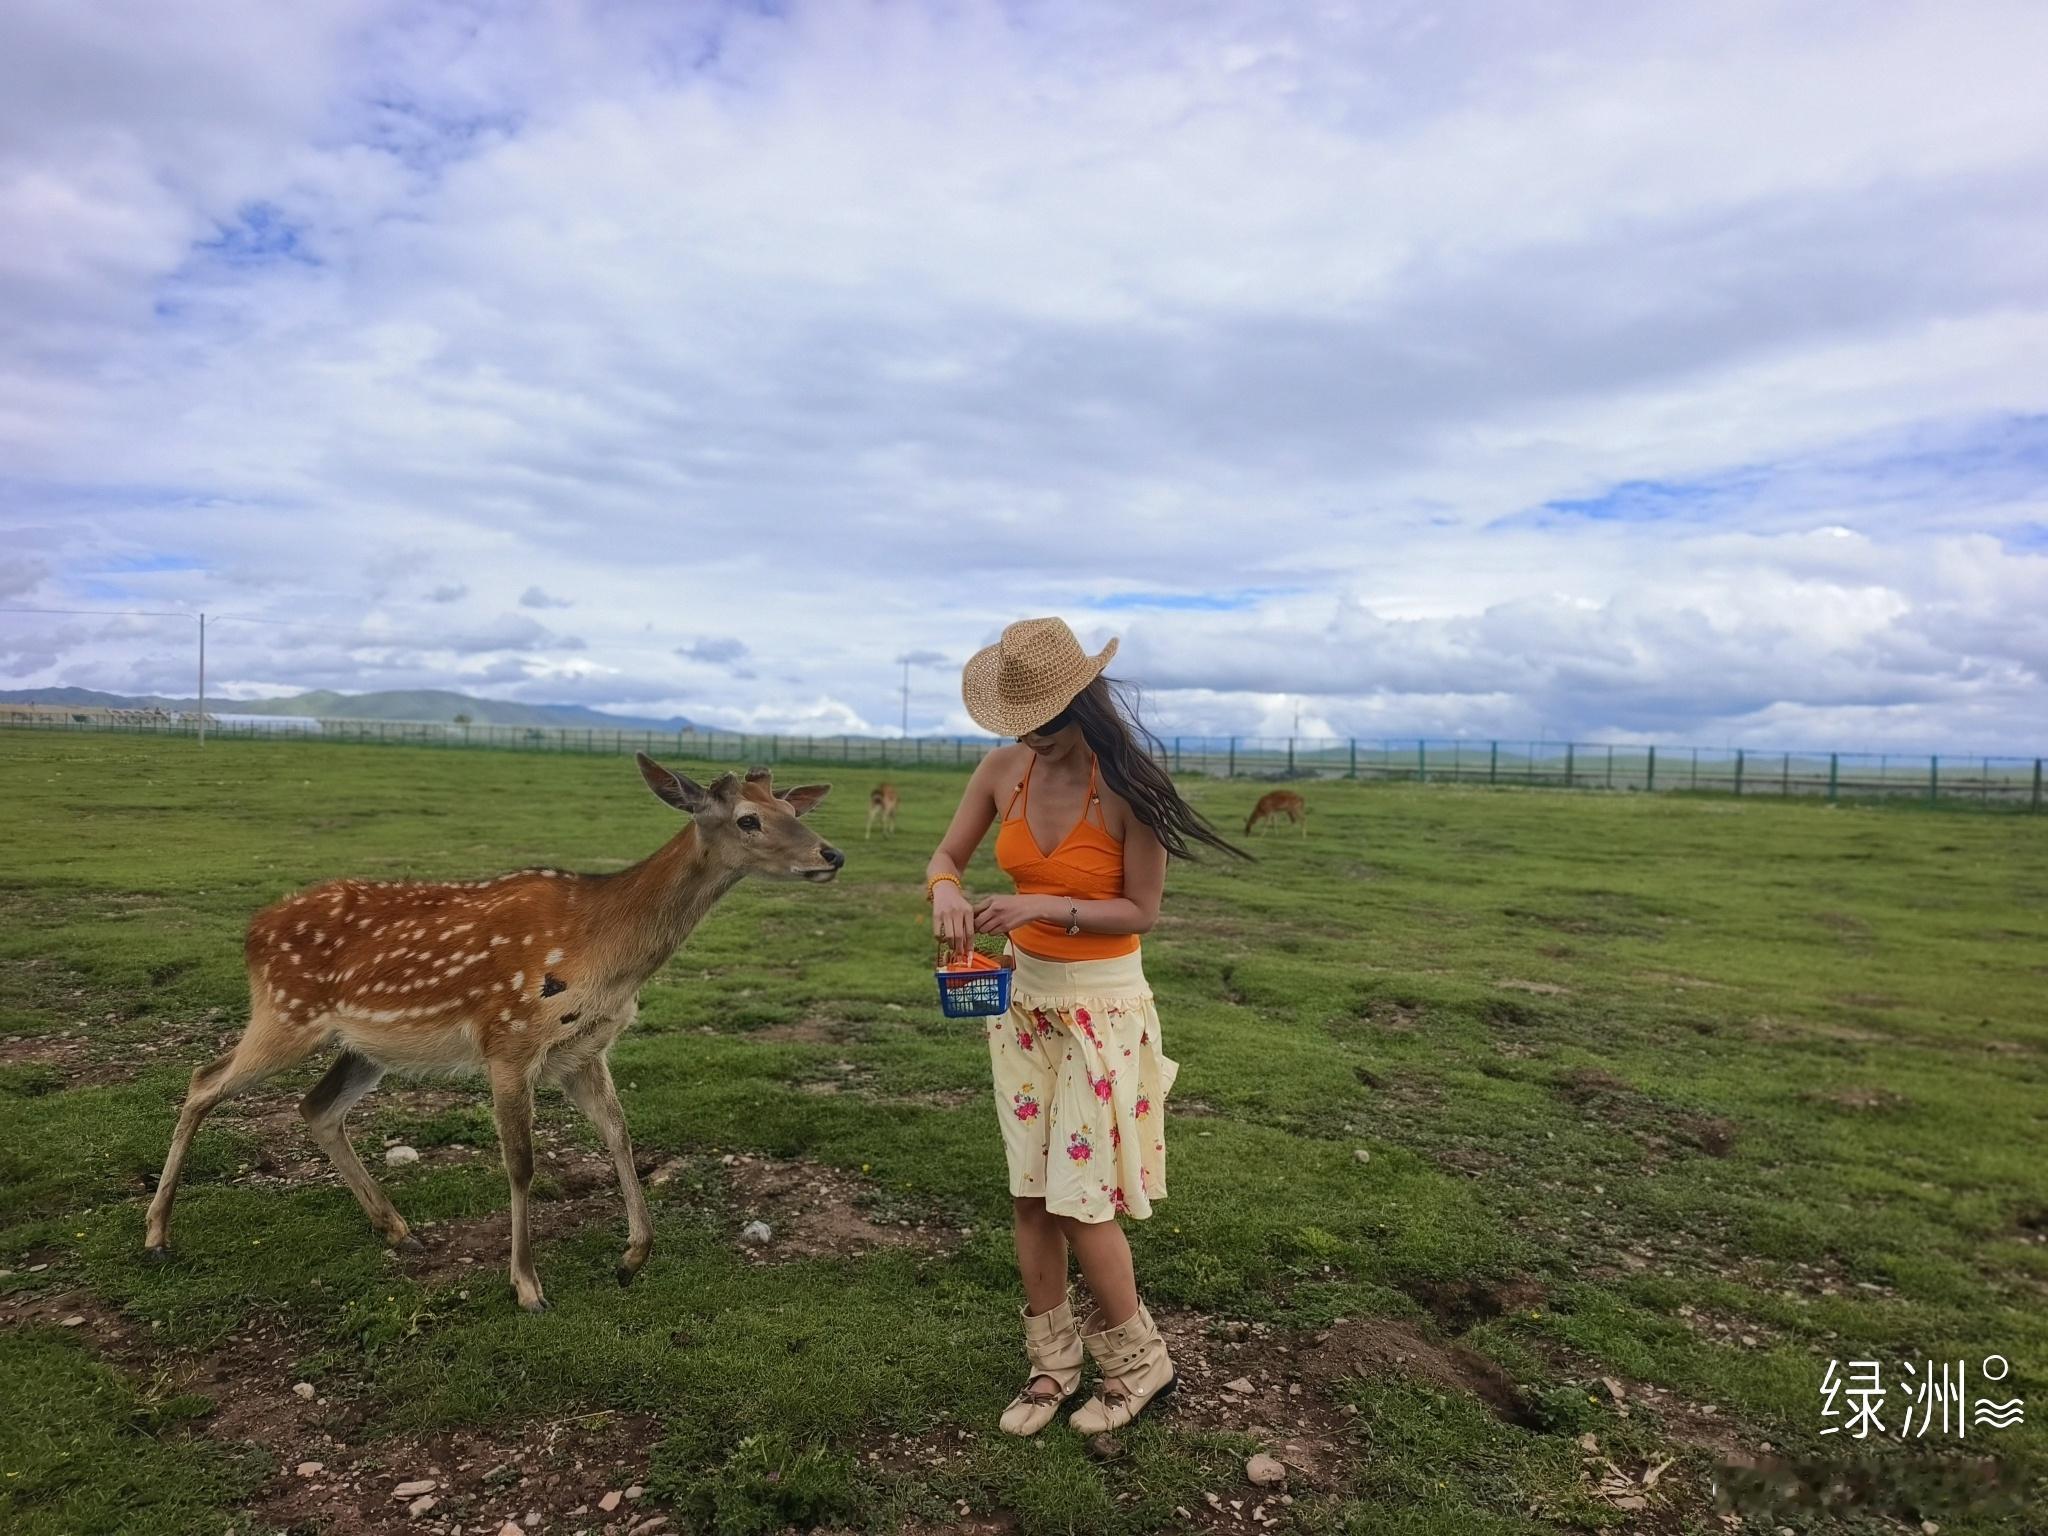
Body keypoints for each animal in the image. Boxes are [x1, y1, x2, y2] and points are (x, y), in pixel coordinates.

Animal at [143, 756, 841, 1313]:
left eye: (790, 808)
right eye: (749, 819)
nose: (831, 855)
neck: (605, 955)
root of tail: (252, 932)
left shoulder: (582, 1049)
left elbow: (620, 1133)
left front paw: (632, 1257)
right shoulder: (507, 1039)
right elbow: (522, 1162)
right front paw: (528, 1286)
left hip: (365, 1047)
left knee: (315, 1106)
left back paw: (399, 1229)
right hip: (283, 1014)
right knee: (203, 1081)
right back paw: (156, 1235)